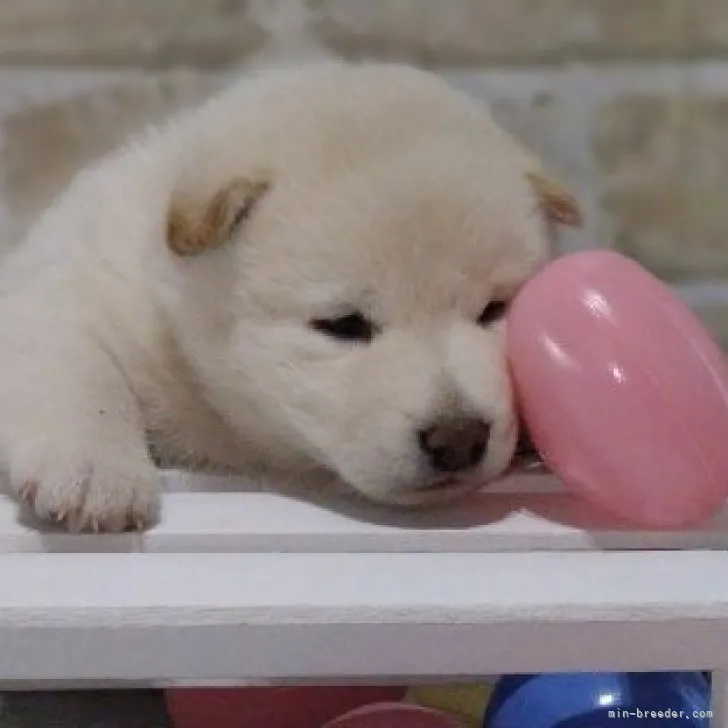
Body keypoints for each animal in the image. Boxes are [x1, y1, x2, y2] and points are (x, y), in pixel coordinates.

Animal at [0, 62, 584, 532]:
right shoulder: (65, 288)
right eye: (345, 325)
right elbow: (77, 367)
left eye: (494, 310)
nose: (458, 438)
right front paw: (95, 473)